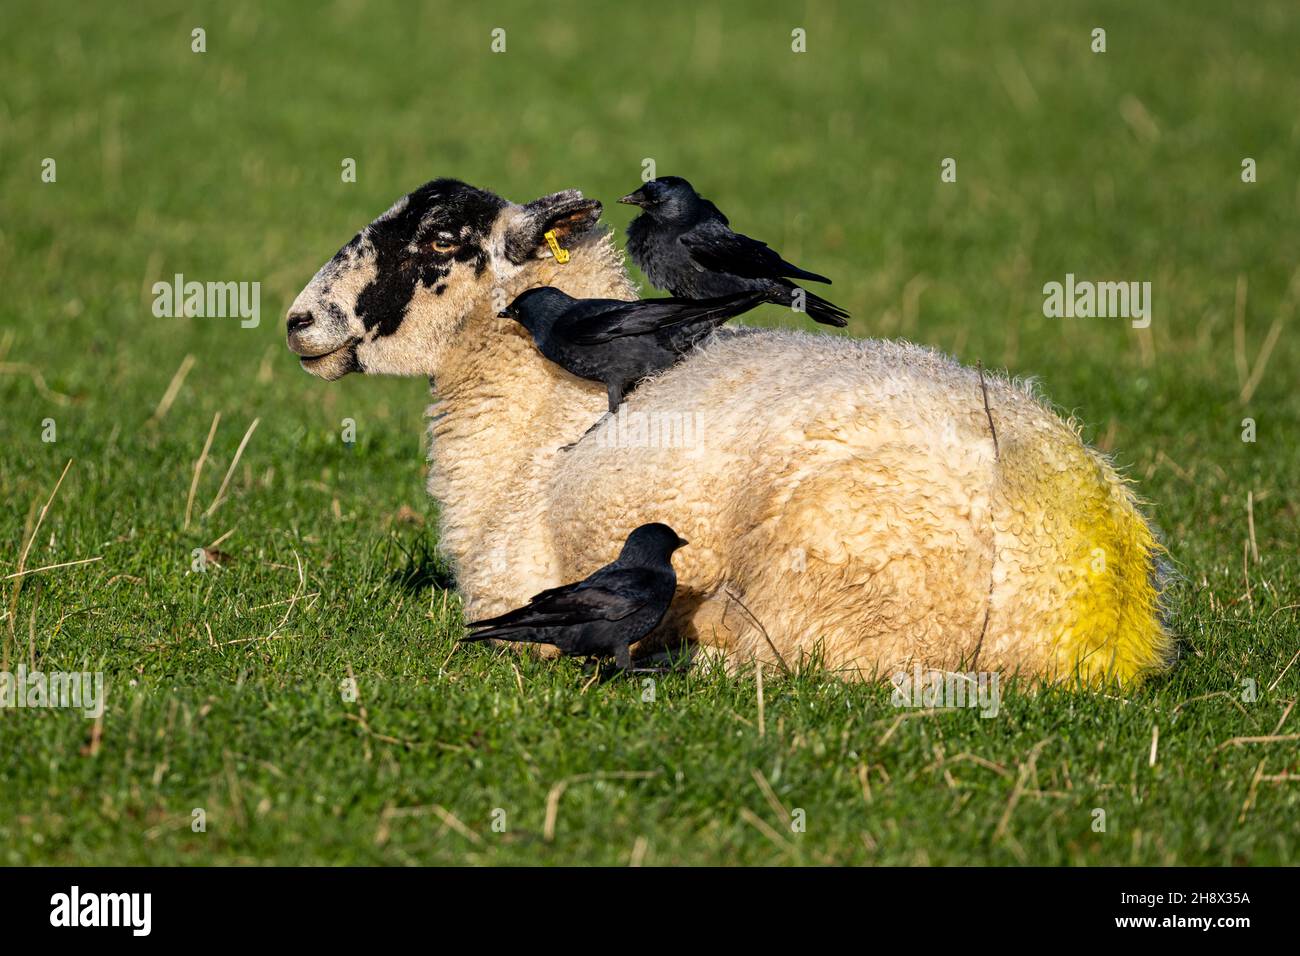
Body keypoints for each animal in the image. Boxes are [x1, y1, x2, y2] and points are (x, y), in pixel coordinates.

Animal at [285, 178, 1174, 686]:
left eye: (440, 240)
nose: (298, 321)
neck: (533, 417)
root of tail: (1100, 609)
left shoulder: (519, 588)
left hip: (837, 604)